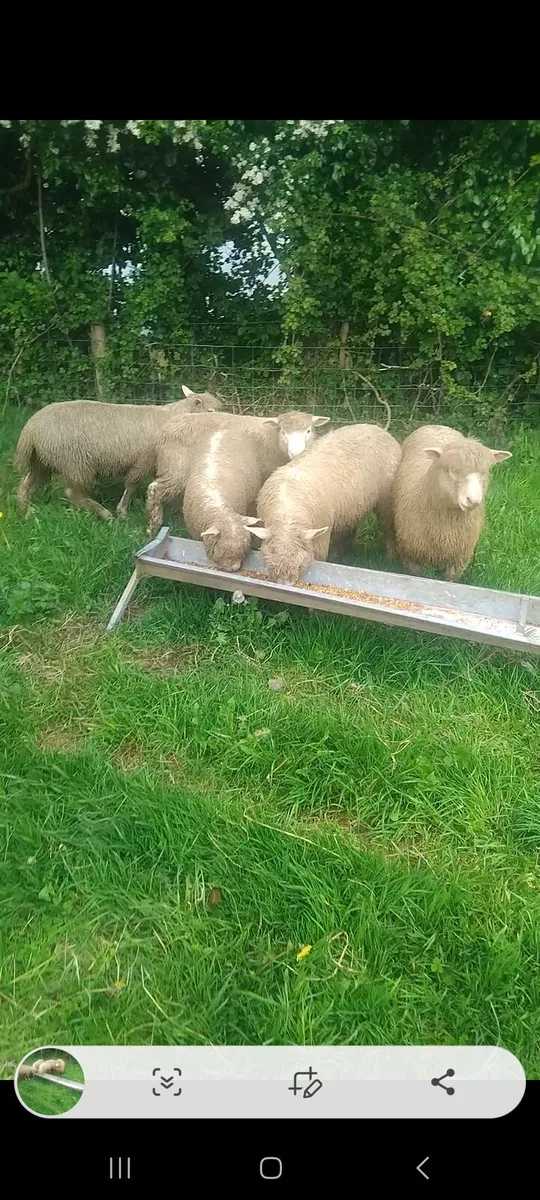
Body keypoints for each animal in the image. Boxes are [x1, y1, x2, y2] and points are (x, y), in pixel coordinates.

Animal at [14, 384, 221, 521]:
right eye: (210, 410)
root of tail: (30, 430)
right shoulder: (142, 461)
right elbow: (132, 485)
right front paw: (122, 511)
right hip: (76, 463)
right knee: (73, 493)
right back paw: (105, 515)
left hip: (41, 460)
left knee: (27, 483)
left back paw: (26, 512)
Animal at [145, 410, 330, 540]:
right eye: (283, 432)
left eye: (308, 431)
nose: (296, 452)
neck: (274, 441)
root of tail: (163, 430)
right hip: (176, 468)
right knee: (154, 489)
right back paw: (152, 527)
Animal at [248, 423, 402, 584]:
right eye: (269, 562)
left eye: (300, 565)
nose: (285, 583)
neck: (287, 514)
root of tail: (377, 428)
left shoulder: (320, 540)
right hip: (351, 507)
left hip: (386, 500)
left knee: (388, 530)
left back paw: (390, 558)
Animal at [391, 424, 512, 581]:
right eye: (451, 470)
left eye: (485, 472)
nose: (473, 500)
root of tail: (436, 426)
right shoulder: (411, 555)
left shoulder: (459, 560)